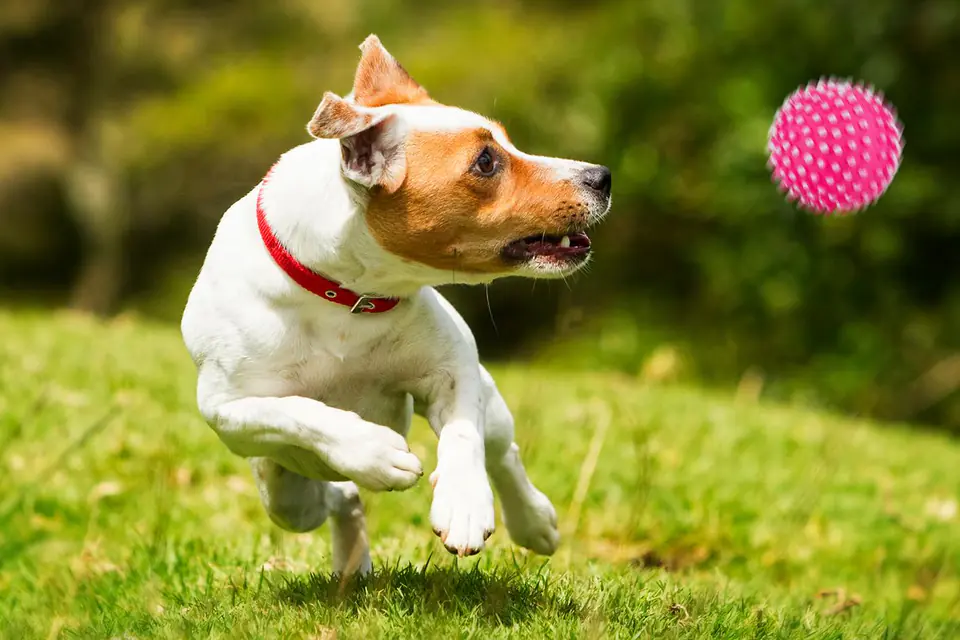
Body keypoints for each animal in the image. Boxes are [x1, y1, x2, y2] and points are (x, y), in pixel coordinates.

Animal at [184, 33, 612, 576]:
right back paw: (352, 562)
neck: (347, 295)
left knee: (503, 451)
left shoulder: (454, 366)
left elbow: (464, 436)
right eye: (485, 161)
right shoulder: (226, 408)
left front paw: (464, 504)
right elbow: (297, 411)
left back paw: (534, 521)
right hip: (287, 498)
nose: (602, 176)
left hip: (491, 404)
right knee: (336, 498)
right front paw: (372, 451)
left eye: (508, 143)